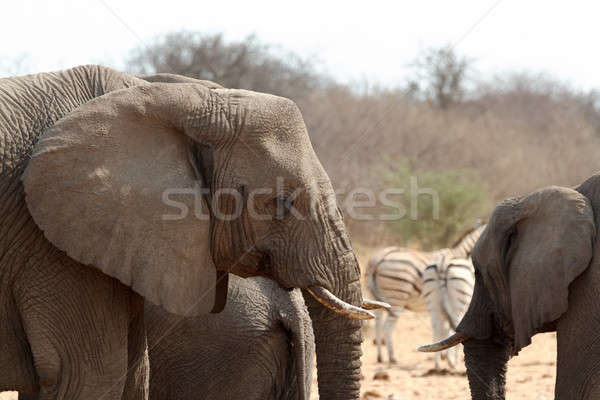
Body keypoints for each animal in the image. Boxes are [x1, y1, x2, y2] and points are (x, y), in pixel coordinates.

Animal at [366, 223, 482, 364]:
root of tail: (377, 260)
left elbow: (443, 329)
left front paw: (443, 356)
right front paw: (447, 357)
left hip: (377, 299)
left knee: (377, 323)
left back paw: (380, 357)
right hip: (397, 297)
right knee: (388, 326)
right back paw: (393, 357)